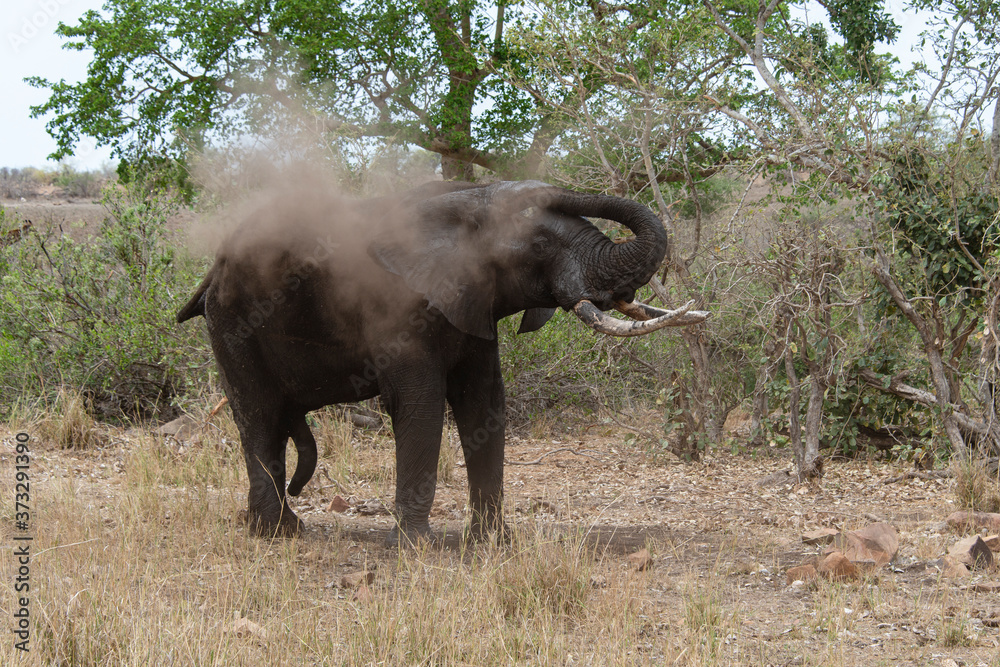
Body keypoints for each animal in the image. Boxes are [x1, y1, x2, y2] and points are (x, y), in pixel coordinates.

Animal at [177, 180, 708, 544]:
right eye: (538, 246)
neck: (463, 204)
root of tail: (210, 273)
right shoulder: (397, 311)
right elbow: (423, 406)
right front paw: (417, 548)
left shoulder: (473, 305)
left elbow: (484, 404)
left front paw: (493, 544)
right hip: (232, 324)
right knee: (259, 416)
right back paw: (277, 535)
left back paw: (278, 526)